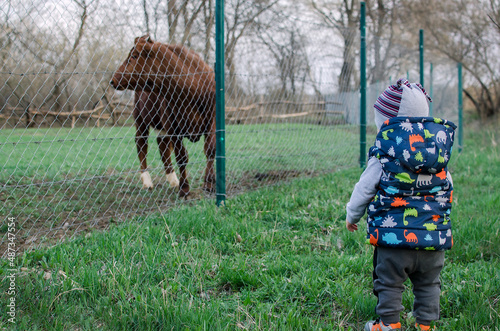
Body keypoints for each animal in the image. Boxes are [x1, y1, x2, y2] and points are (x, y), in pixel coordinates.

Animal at [110, 36, 216, 197]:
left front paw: (209, 184)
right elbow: (181, 157)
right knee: (141, 143)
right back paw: (147, 181)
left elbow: (210, 149)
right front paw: (184, 189)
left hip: (160, 125)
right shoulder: (173, 127)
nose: (113, 80)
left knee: (163, 146)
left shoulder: (212, 119)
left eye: (134, 56)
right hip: (140, 118)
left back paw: (173, 180)